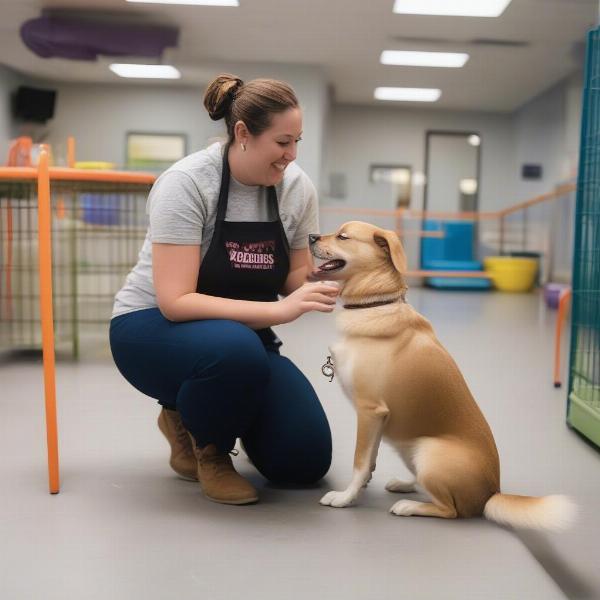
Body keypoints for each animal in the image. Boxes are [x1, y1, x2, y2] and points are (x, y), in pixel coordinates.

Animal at [310, 220, 576, 528]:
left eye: (343, 236)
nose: (311, 237)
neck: (374, 303)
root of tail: (491, 492)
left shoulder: (370, 411)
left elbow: (360, 462)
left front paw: (345, 497)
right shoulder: (376, 420)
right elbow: (370, 459)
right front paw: (360, 490)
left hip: (429, 453)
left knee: (450, 510)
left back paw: (409, 506)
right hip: (409, 447)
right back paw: (405, 484)